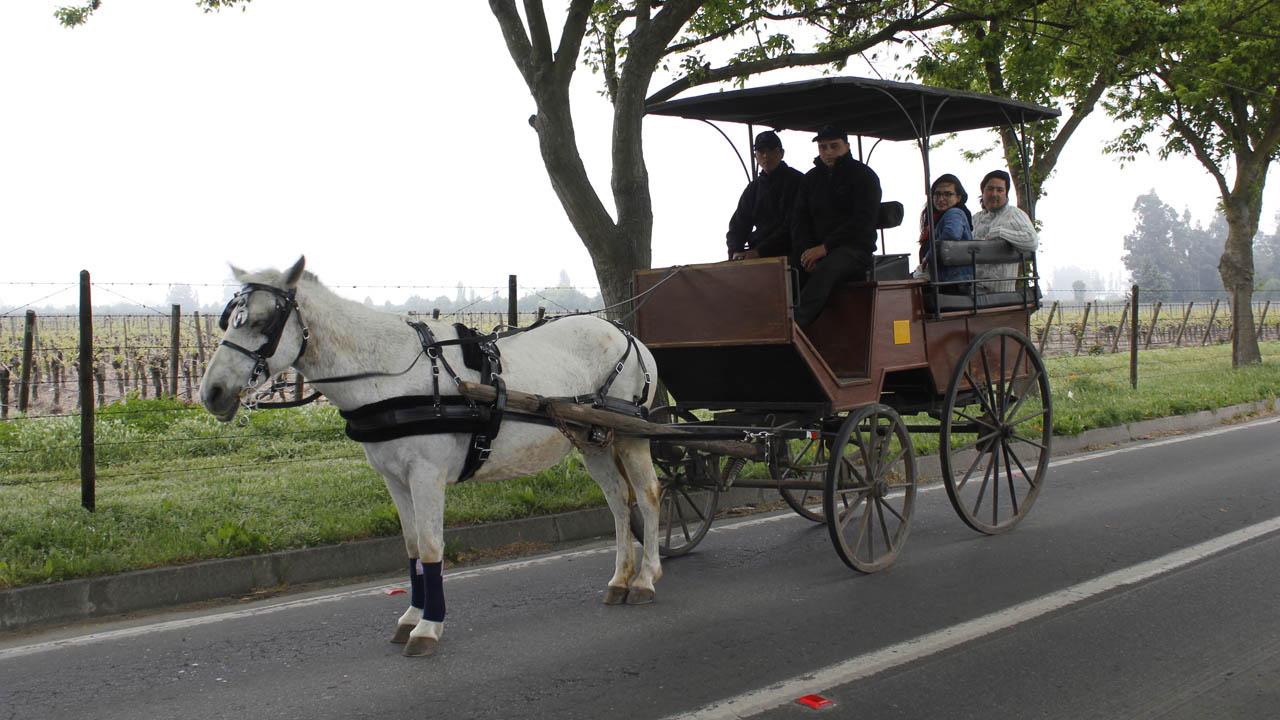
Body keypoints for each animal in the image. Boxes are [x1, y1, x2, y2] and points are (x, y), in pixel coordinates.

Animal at [197, 257, 670, 655]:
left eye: (263, 321)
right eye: (229, 319)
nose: (211, 392)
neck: (391, 374)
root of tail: (626, 334)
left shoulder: (425, 474)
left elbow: (429, 545)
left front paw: (429, 625)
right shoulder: (392, 476)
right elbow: (409, 546)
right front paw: (411, 615)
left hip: (630, 436)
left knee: (648, 494)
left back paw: (646, 578)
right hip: (594, 440)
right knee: (618, 501)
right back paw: (620, 578)